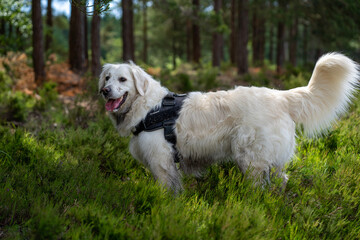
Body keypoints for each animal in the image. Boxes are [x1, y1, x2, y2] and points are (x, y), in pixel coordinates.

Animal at [98, 53, 358, 193]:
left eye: (123, 79)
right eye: (107, 78)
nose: (104, 91)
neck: (148, 108)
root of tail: (281, 96)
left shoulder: (161, 161)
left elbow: (165, 191)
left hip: (251, 158)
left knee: (260, 186)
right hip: (270, 159)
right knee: (281, 180)